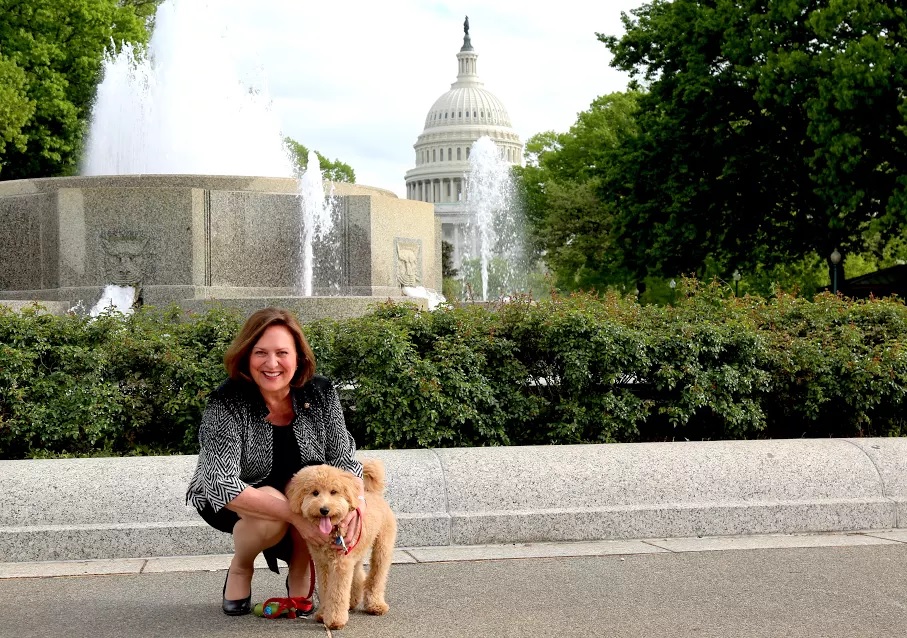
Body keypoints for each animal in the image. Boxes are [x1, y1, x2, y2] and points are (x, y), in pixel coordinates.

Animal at [286, 460, 396, 632]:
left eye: (333, 492)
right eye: (315, 493)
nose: (324, 510)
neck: (333, 530)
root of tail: (374, 493)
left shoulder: (340, 564)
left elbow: (337, 593)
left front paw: (335, 620)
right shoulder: (323, 563)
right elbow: (326, 590)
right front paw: (323, 614)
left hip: (382, 546)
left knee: (377, 575)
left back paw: (375, 605)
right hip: (356, 550)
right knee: (358, 574)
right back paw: (353, 600)